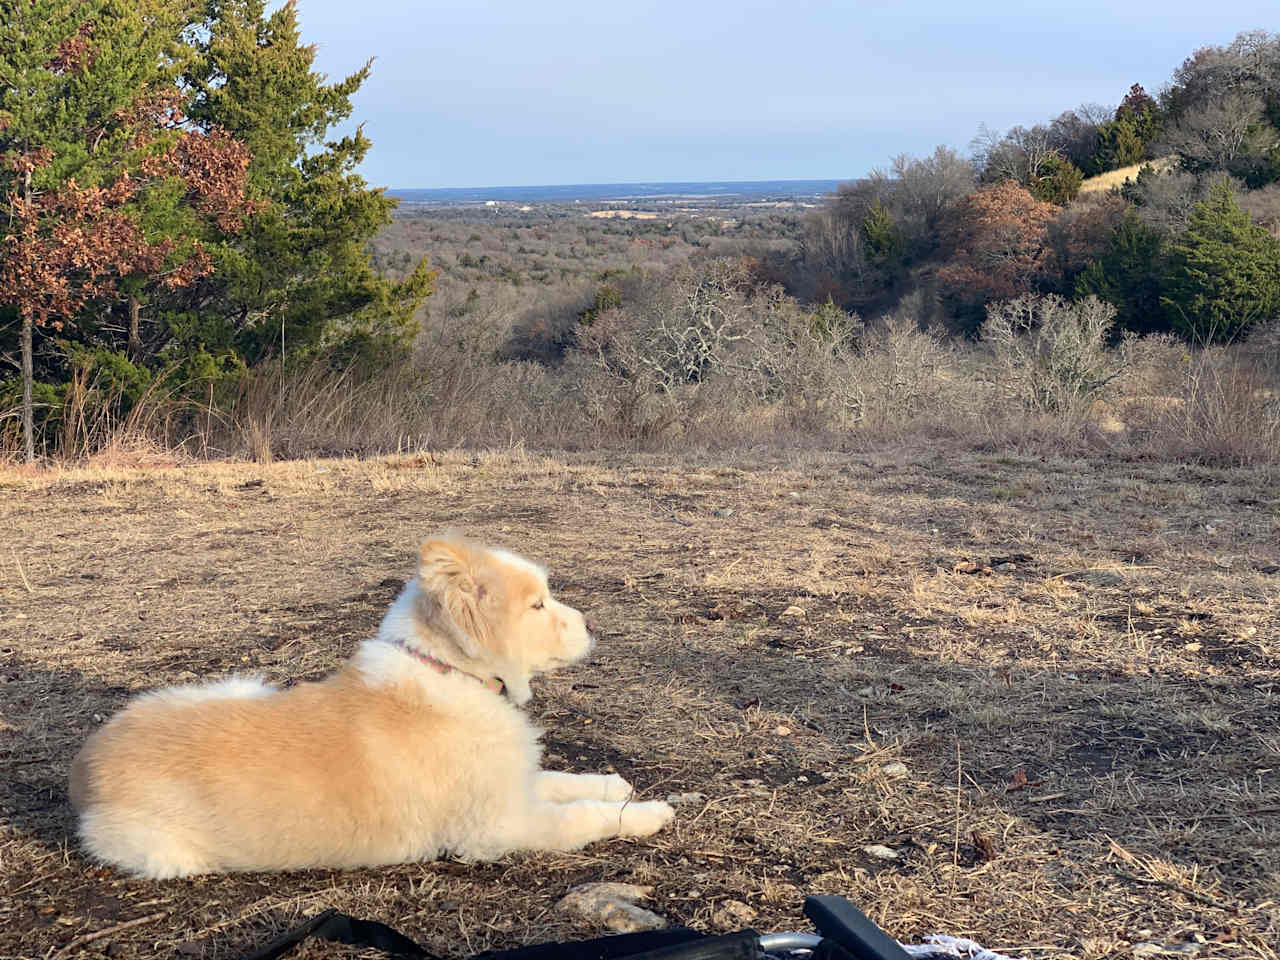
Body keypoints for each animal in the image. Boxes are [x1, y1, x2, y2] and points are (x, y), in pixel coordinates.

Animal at [70, 537, 675, 885]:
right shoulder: (498, 826)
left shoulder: (511, 785)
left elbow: (562, 780)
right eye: (538, 605)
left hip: (241, 686)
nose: (594, 625)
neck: (450, 671)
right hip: (171, 854)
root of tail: (84, 765)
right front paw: (649, 814)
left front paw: (614, 784)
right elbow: (582, 816)